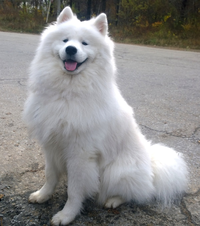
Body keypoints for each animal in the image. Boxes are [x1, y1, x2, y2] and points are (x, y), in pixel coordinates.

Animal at [24, 6, 188, 226]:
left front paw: (67, 215)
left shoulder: (80, 154)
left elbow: (74, 191)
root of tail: (151, 167)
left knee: (136, 193)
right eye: (65, 40)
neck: (68, 91)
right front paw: (43, 195)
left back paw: (113, 200)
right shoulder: (51, 144)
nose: (71, 50)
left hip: (116, 171)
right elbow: (50, 175)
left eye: (85, 43)